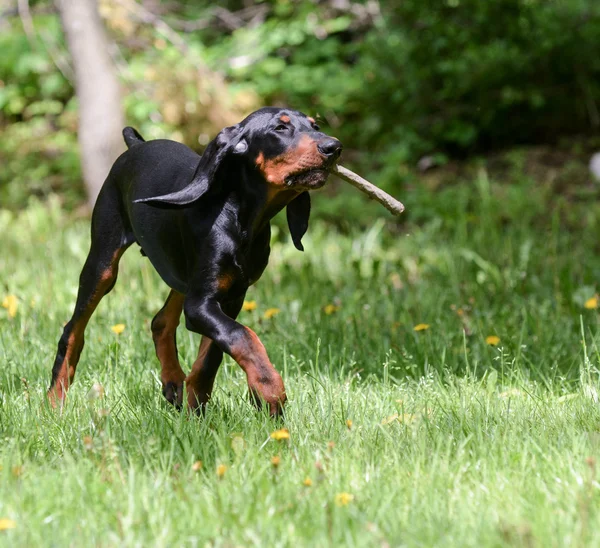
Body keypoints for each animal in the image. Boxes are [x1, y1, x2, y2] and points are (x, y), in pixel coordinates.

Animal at [47, 107, 342, 416]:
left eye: (315, 126)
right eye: (280, 128)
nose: (334, 147)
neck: (241, 218)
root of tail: (137, 145)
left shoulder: (230, 298)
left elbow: (213, 353)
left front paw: (196, 407)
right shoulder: (201, 304)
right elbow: (242, 336)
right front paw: (269, 389)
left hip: (182, 275)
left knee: (161, 321)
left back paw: (173, 382)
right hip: (103, 264)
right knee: (72, 331)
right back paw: (55, 402)